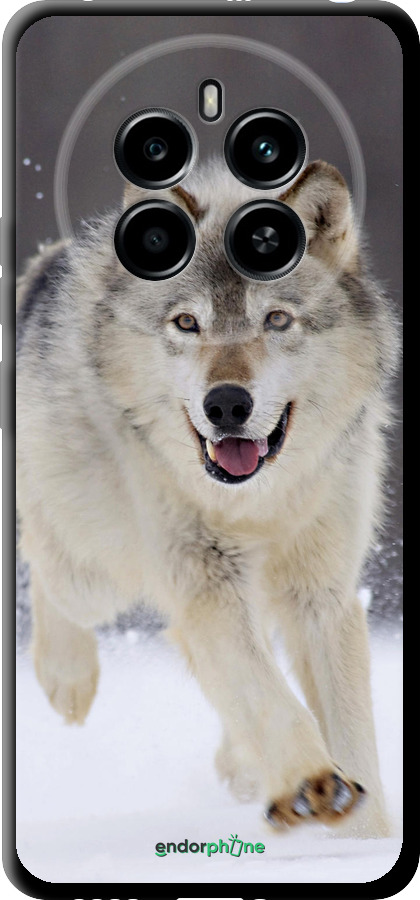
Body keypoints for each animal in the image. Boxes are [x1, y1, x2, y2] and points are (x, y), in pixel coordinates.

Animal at [17, 159, 398, 837]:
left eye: (277, 320)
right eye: (187, 323)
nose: (226, 405)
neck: (258, 503)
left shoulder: (321, 594)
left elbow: (350, 732)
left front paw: (364, 837)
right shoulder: (206, 582)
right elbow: (268, 695)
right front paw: (312, 783)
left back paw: (242, 766)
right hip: (97, 575)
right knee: (45, 561)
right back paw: (67, 678)